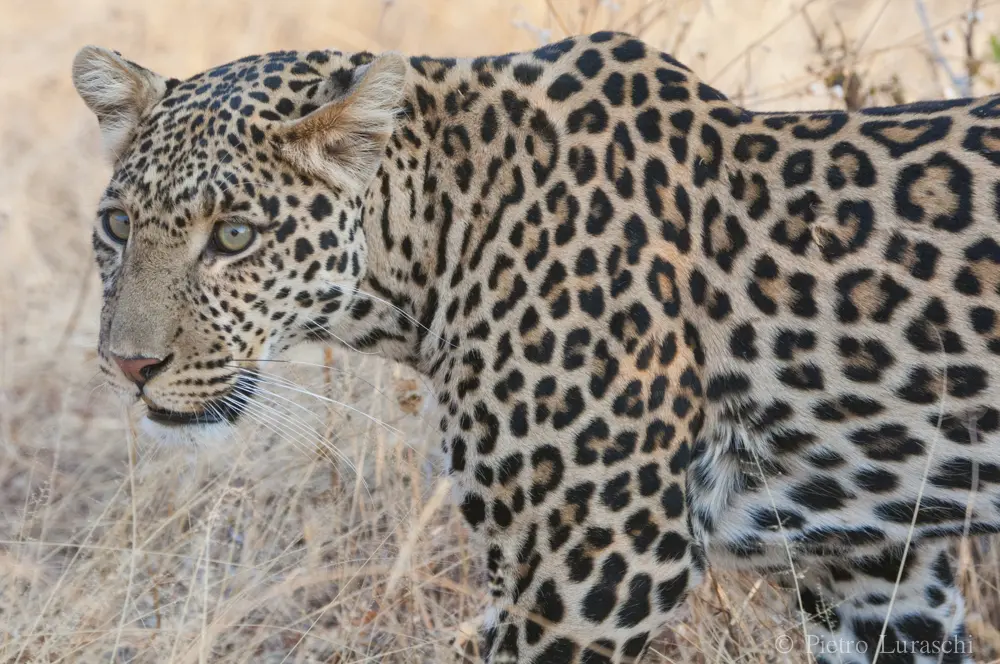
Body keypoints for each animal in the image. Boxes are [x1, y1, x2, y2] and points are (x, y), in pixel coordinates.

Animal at [70, 31, 1000, 663]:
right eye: (116, 225)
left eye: (233, 236)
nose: (129, 366)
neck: (440, 235)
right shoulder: (873, 573)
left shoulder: (594, 571)